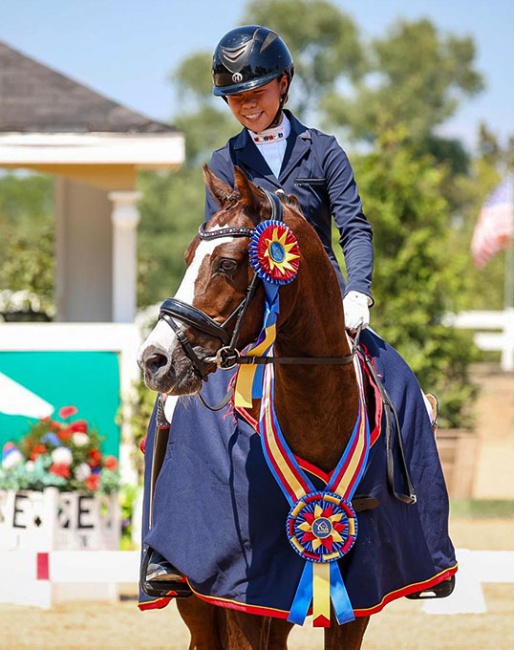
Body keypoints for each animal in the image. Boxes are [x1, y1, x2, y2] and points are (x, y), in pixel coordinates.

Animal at [136, 165, 370, 644]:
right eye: (188, 257)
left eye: (226, 264)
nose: (154, 360)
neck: (318, 415)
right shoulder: (239, 593)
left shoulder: (357, 603)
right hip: (197, 602)